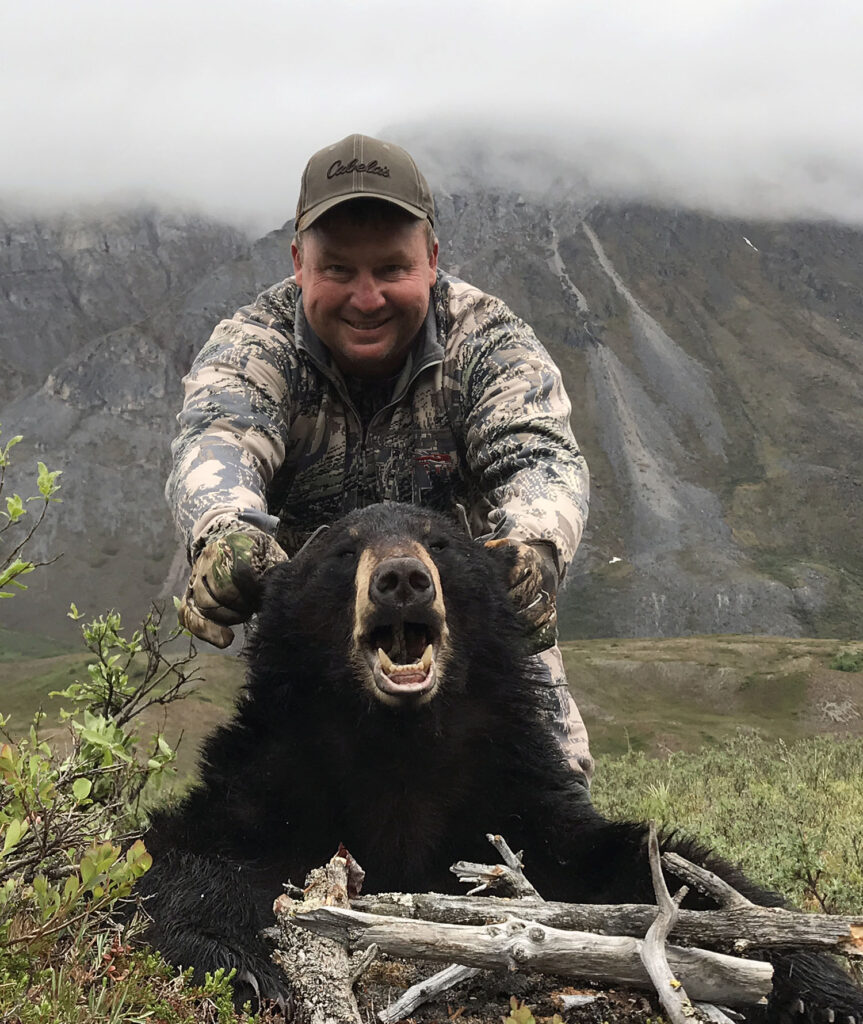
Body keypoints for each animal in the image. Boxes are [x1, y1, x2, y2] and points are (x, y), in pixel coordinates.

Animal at [136, 502, 863, 1020]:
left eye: (439, 543)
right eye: (344, 551)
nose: (401, 579)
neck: (398, 743)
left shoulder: (505, 789)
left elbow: (643, 868)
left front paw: (820, 983)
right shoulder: (278, 775)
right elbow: (187, 855)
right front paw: (243, 965)